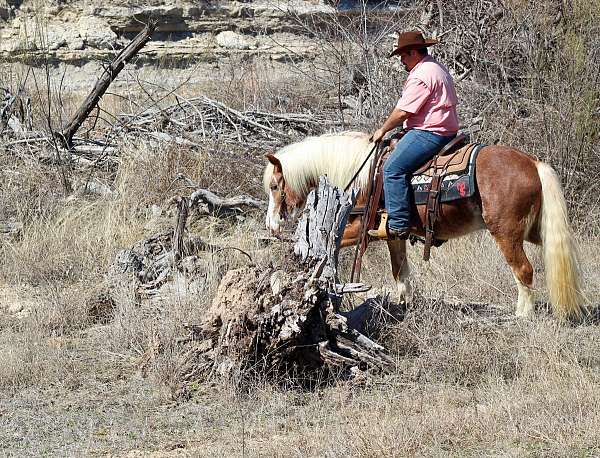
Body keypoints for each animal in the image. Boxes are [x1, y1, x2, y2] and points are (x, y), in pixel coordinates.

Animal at [264, 131, 584, 320]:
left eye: (275, 186)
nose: (272, 226)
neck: (363, 175)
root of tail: (532, 163)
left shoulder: (357, 228)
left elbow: (331, 245)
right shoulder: (392, 234)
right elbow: (400, 271)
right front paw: (404, 305)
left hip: (506, 233)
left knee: (524, 269)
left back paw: (522, 315)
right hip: (534, 230)